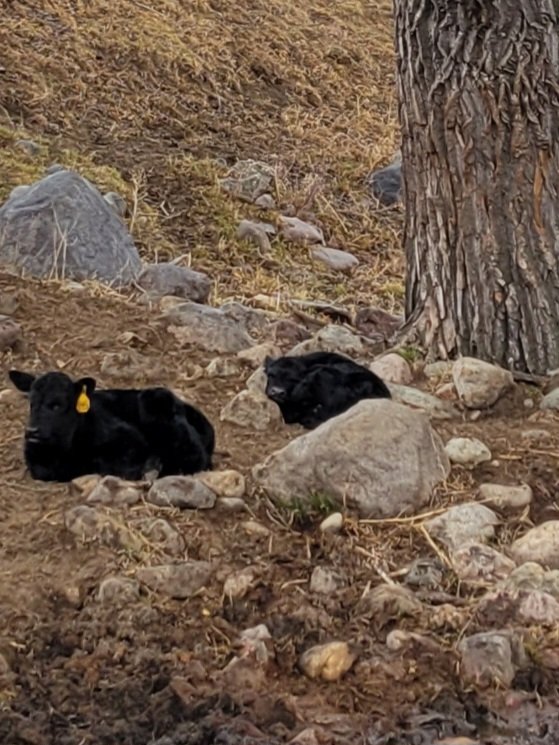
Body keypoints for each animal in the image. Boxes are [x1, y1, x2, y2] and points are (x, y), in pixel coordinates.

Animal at [9, 370, 214, 482]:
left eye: (57, 405)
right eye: (31, 403)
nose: (32, 431)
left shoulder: (132, 441)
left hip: (155, 402)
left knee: (194, 458)